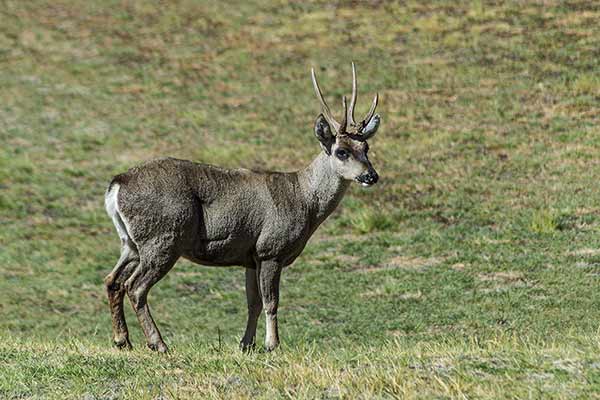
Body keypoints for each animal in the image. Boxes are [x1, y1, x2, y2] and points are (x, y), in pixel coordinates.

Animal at [104, 63, 380, 354]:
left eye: (366, 147)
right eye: (341, 152)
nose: (371, 176)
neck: (304, 201)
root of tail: (117, 184)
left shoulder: (251, 255)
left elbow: (253, 303)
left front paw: (246, 344)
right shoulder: (271, 249)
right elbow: (271, 301)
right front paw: (272, 344)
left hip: (132, 242)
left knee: (113, 281)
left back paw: (122, 340)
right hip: (163, 238)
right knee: (135, 286)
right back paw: (158, 343)